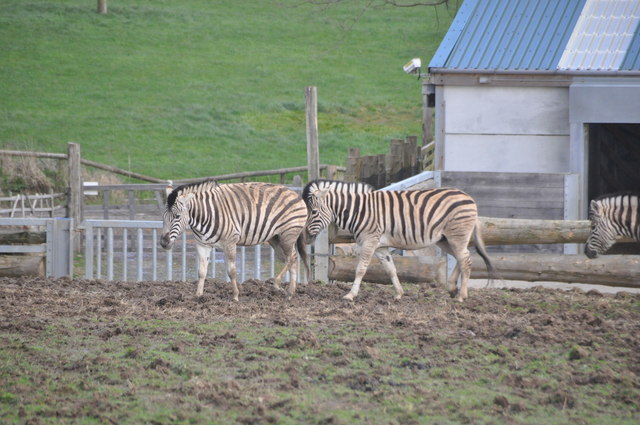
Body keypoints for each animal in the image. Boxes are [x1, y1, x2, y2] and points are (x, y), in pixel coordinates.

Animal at [160, 181, 310, 300]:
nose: (163, 243)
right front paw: (198, 295)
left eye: (177, 216)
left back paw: (278, 284)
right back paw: (290, 292)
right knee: (292, 258)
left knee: (291, 258)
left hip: (288, 235)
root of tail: (296, 194)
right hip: (275, 238)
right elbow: (201, 271)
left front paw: (236, 295)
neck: (204, 216)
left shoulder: (230, 243)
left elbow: (231, 271)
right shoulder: (203, 245)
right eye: (163, 217)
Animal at [302, 179, 498, 302]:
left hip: (456, 235)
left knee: (466, 260)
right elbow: (391, 269)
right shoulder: (380, 246)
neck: (360, 210)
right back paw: (452, 289)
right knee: (461, 258)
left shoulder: (369, 241)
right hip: (445, 239)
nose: (304, 237)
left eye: (313, 212)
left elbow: (360, 269)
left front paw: (350, 295)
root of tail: (468, 197)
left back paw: (461, 296)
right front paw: (399, 294)